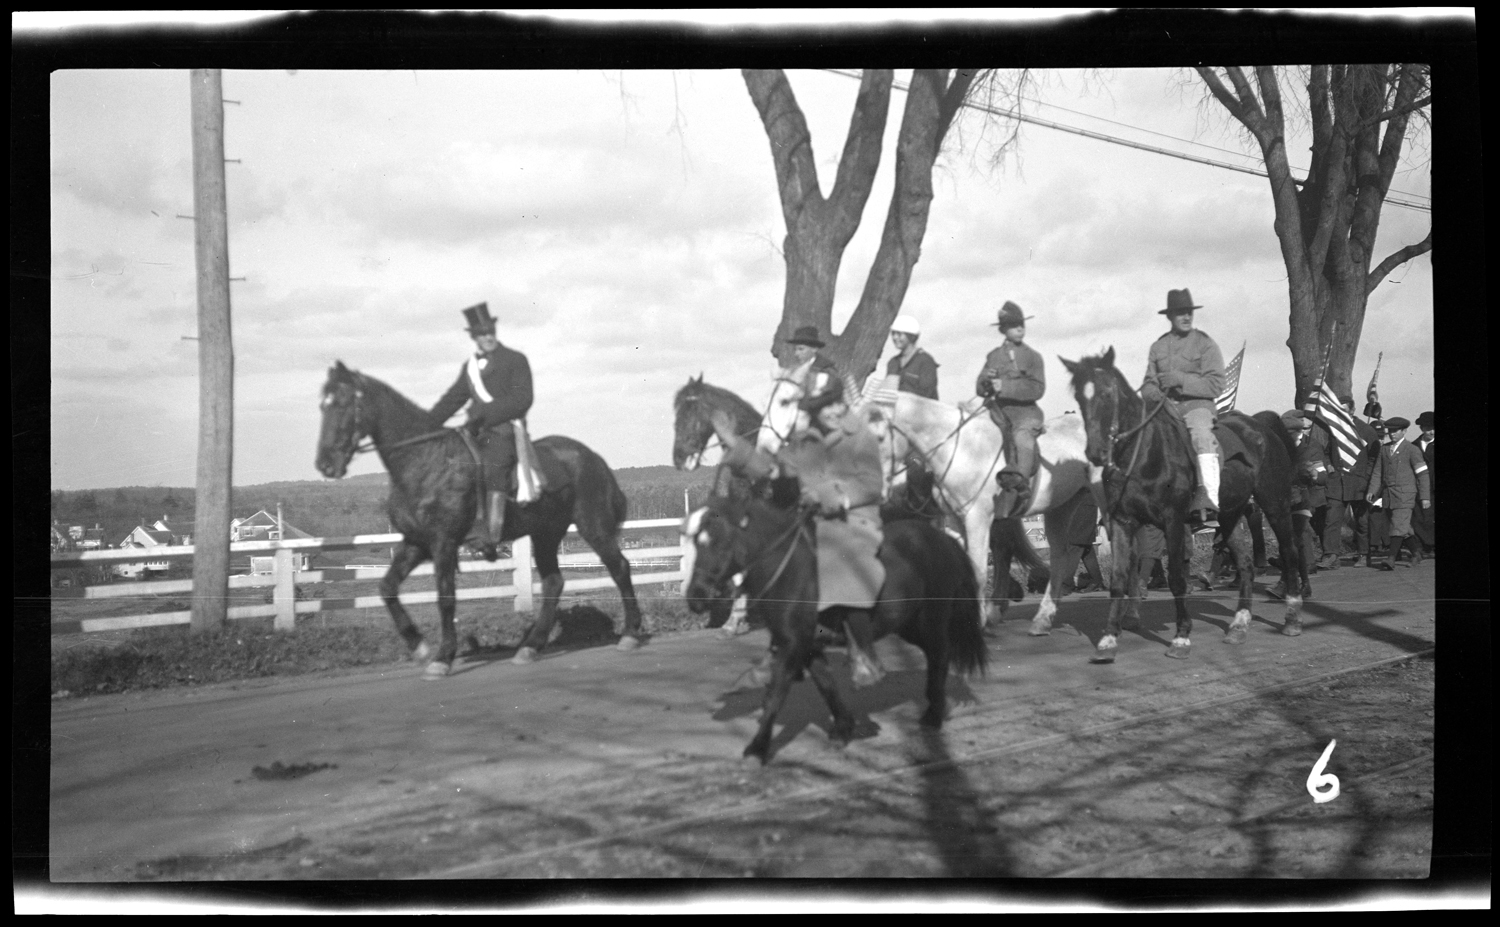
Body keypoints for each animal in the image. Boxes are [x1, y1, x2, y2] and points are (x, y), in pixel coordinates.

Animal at [316, 357, 645, 675]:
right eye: (323, 405)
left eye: (343, 403)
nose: (325, 464)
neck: (424, 461)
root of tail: (594, 458)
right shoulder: (416, 542)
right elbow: (387, 588)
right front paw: (418, 645)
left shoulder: (443, 543)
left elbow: (445, 597)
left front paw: (443, 656)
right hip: (546, 534)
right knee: (554, 582)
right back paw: (531, 646)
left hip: (593, 526)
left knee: (619, 568)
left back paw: (630, 633)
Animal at [687, 480, 990, 762]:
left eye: (717, 540)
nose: (695, 598)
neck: (792, 571)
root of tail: (943, 539)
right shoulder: (808, 646)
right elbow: (826, 685)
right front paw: (844, 727)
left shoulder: (792, 646)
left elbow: (776, 692)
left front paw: (757, 748)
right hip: (908, 624)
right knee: (934, 653)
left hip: (932, 618)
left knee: (940, 654)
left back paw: (933, 714)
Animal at [1062, 345, 1308, 657]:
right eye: (1080, 397)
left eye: (1107, 392)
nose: (1095, 451)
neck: (1145, 454)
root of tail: (1260, 426)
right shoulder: (1123, 523)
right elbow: (1119, 579)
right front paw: (1108, 639)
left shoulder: (1173, 521)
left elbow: (1177, 578)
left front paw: (1181, 637)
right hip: (1230, 515)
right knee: (1245, 564)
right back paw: (1239, 625)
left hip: (1275, 505)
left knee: (1289, 553)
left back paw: (1292, 617)